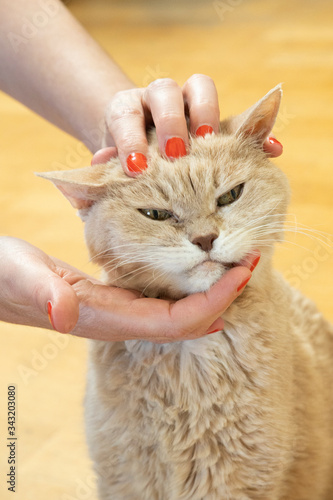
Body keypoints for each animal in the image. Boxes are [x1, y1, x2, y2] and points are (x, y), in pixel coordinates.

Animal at [37, 87, 332, 500]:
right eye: (156, 215)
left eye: (230, 196)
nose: (205, 238)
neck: (188, 360)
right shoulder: (125, 478)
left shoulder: (234, 482)